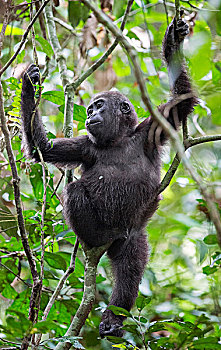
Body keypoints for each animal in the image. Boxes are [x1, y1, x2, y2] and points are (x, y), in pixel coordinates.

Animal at [20, 17, 197, 340]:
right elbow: (43, 148)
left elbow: (181, 101)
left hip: (133, 236)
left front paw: (172, 41)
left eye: (99, 106)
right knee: (76, 190)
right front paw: (29, 83)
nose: (90, 115)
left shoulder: (151, 129)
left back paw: (114, 318)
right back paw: (95, 239)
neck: (117, 140)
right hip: (103, 232)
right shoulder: (85, 146)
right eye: (89, 109)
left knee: (129, 272)